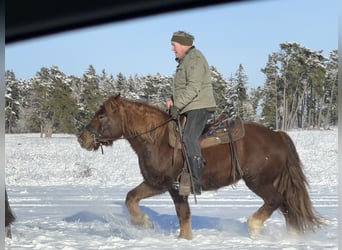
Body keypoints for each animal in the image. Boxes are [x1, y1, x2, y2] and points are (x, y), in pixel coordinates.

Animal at [77, 94, 324, 240]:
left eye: (102, 115)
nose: (82, 138)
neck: (156, 139)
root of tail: (277, 135)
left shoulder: (168, 185)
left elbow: (174, 211)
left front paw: (155, 227)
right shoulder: (164, 185)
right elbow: (139, 200)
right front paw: (155, 227)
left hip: (258, 181)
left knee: (275, 201)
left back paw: (254, 227)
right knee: (287, 207)